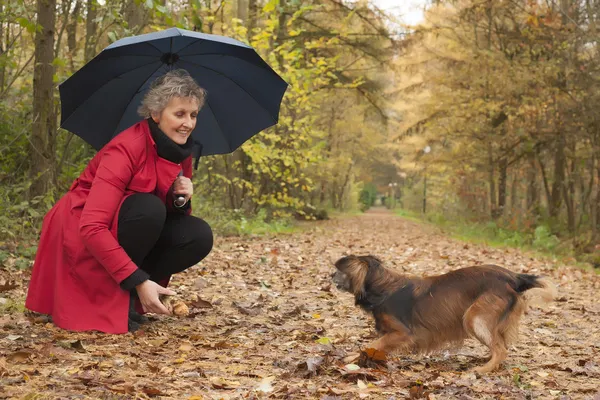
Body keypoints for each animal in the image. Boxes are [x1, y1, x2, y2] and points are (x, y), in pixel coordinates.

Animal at [330, 255, 556, 374]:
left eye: (339, 271)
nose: (330, 275)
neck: (382, 288)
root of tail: (514, 277)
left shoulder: (403, 333)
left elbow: (371, 345)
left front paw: (349, 358)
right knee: (500, 345)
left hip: (474, 317)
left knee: (501, 350)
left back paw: (482, 369)